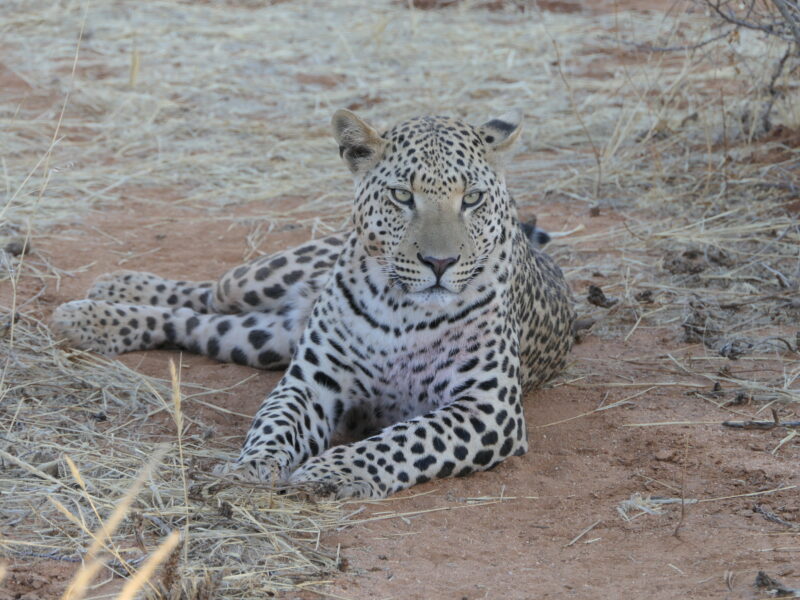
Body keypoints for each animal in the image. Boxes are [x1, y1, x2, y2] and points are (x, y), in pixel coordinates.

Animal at [51, 109, 575, 499]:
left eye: (474, 199)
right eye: (402, 196)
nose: (440, 262)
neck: (403, 311)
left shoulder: (487, 408)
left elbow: (402, 438)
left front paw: (331, 472)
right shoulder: (311, 381)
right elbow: (274, 427)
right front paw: (250, 468)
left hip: (261, 339)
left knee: (194, 323)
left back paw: (93, 315)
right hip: (257, 280)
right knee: (203, 295)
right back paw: (104, 298)